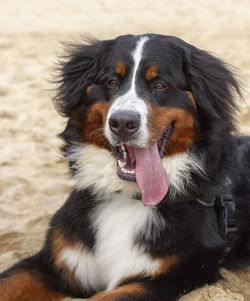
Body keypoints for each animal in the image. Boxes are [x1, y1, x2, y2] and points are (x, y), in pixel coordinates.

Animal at [0, 32, 250, 300]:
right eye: (111, 82)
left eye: (159, 84)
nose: (122, 122)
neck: (129, 197)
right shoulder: (55, 260)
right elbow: (11, 280)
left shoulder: (177, 275)